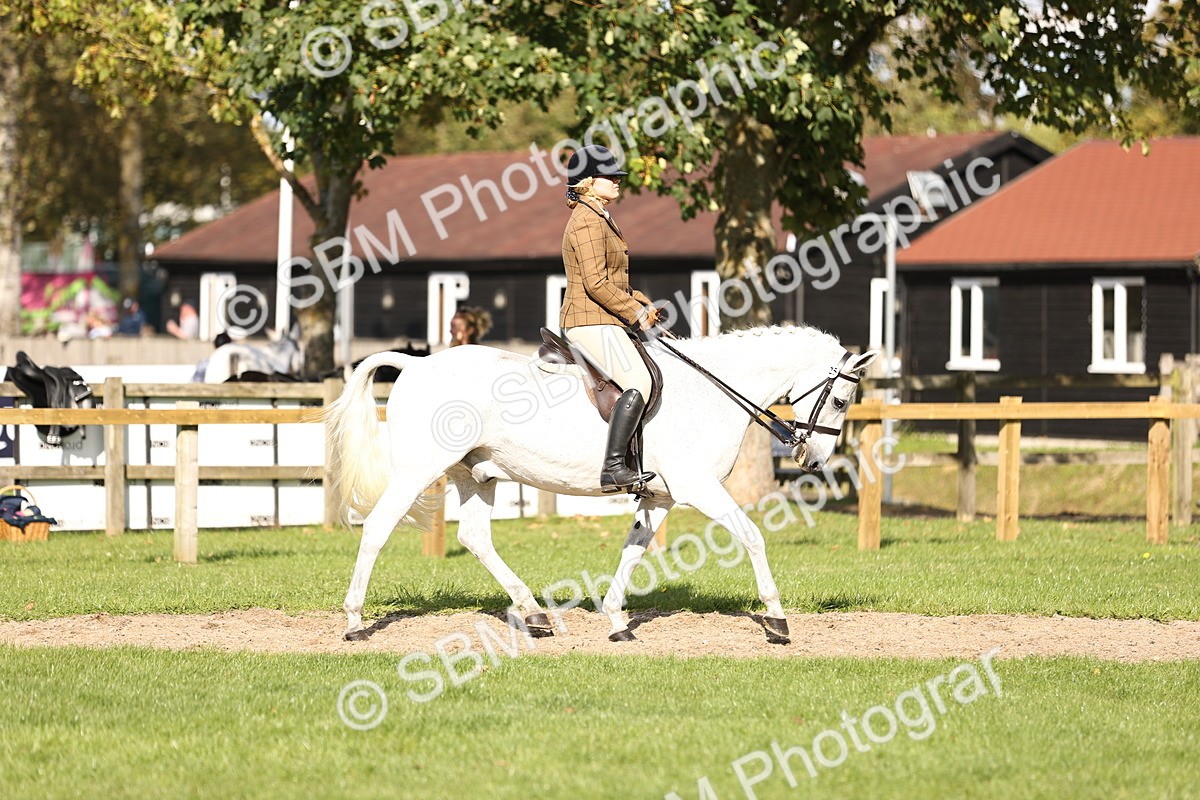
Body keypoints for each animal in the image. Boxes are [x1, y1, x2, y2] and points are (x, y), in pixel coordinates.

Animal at [324, 325, 878, 643]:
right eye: (841, 401)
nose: (814, 458)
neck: (710, 392)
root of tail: (416, 363)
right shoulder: (699, 489)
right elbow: (753, 536)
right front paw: (777, 621)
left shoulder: (660, 496)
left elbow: (634, 550)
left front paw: (615, 621)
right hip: (418, 470)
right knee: (376, 529)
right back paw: (354, 622)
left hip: (475, 474)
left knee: (475, 537)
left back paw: (534, 615)